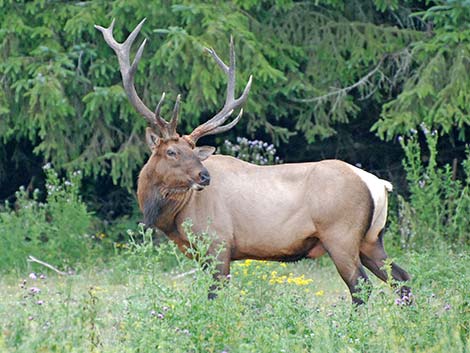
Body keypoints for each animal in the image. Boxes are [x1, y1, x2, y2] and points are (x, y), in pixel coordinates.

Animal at [96, 19, 412, 304]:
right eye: (173, 152)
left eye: (191, 151)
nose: (204, 177)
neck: (173, 216)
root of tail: (378, 184)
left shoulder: (218, 245)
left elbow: (215, 298)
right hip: (371, 239)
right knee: (402, 278)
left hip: (341, 235)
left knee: (361, 287)